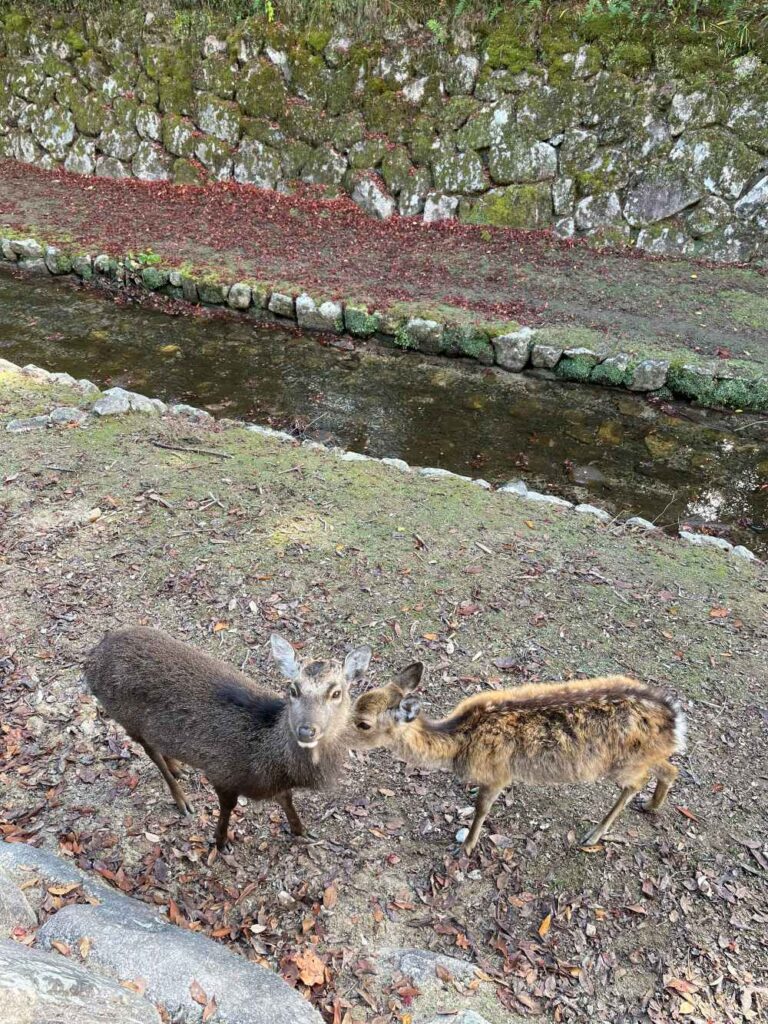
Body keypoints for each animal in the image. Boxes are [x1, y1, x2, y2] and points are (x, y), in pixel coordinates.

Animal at [85, 627, 371, 849]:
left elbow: (286, 799)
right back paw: (182, 800)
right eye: (293, 689)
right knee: (149, 751)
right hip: (127, 719)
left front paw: (303, 831)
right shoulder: (222, 773)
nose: (306, 730)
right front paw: (221, 842)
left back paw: (179, 767)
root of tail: (92, 660)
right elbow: (228, 808)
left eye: (336, 692)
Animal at [353, 665, 687, 855]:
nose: (342, 736)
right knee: (671, 768)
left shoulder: (497, 773)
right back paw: (651, 805)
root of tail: (675, 720)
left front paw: (465, 847)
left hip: (626, 763)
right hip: (643, 756)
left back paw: (594, 834)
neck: (459, 741)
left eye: (364, 724)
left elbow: (481, 809)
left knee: (643, 779)